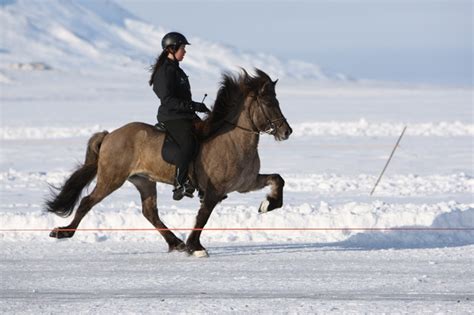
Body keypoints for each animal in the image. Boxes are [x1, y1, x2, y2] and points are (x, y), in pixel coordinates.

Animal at [47, 68, 292, 258]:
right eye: (269, 102)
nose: (287, 131)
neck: (233, 140)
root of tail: (109, 135)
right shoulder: (214, 190)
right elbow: (203, 215)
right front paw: (195, 247)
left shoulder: (246, 184)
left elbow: (278, 179)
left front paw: (267, 205)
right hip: (112, 178)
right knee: (87, 201)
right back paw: (63, 232)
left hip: (143, 181)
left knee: (150, 212)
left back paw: (176, 243)